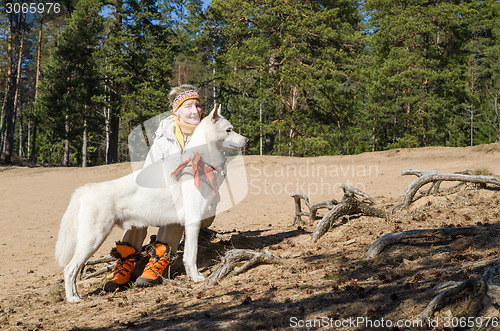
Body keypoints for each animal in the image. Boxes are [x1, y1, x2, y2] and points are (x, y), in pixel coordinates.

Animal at [54, 106, 248, 304]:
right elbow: (191, 255)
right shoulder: (193, 222)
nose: (247, 140)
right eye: (229, 130)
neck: (201, 160)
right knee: (69, 269)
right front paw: (196, 278)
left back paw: (76, 295)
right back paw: (72, 298)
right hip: (93, 239)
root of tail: (86, 189)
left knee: (74, 270)